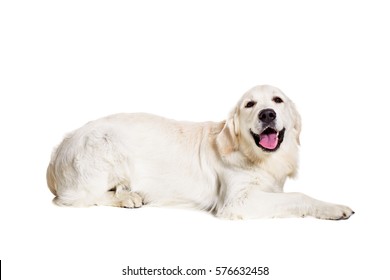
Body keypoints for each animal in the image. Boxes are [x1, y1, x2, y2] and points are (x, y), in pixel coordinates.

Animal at [45, 84, 354, 220]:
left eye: (277, 100)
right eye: (249, 104)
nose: (267, 114)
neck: (251, 153)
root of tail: (60, 146)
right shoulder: (236, 202)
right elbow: (299, 196)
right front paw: (334, 208)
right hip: (103, 145)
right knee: (77, 199)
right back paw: (129, 198)